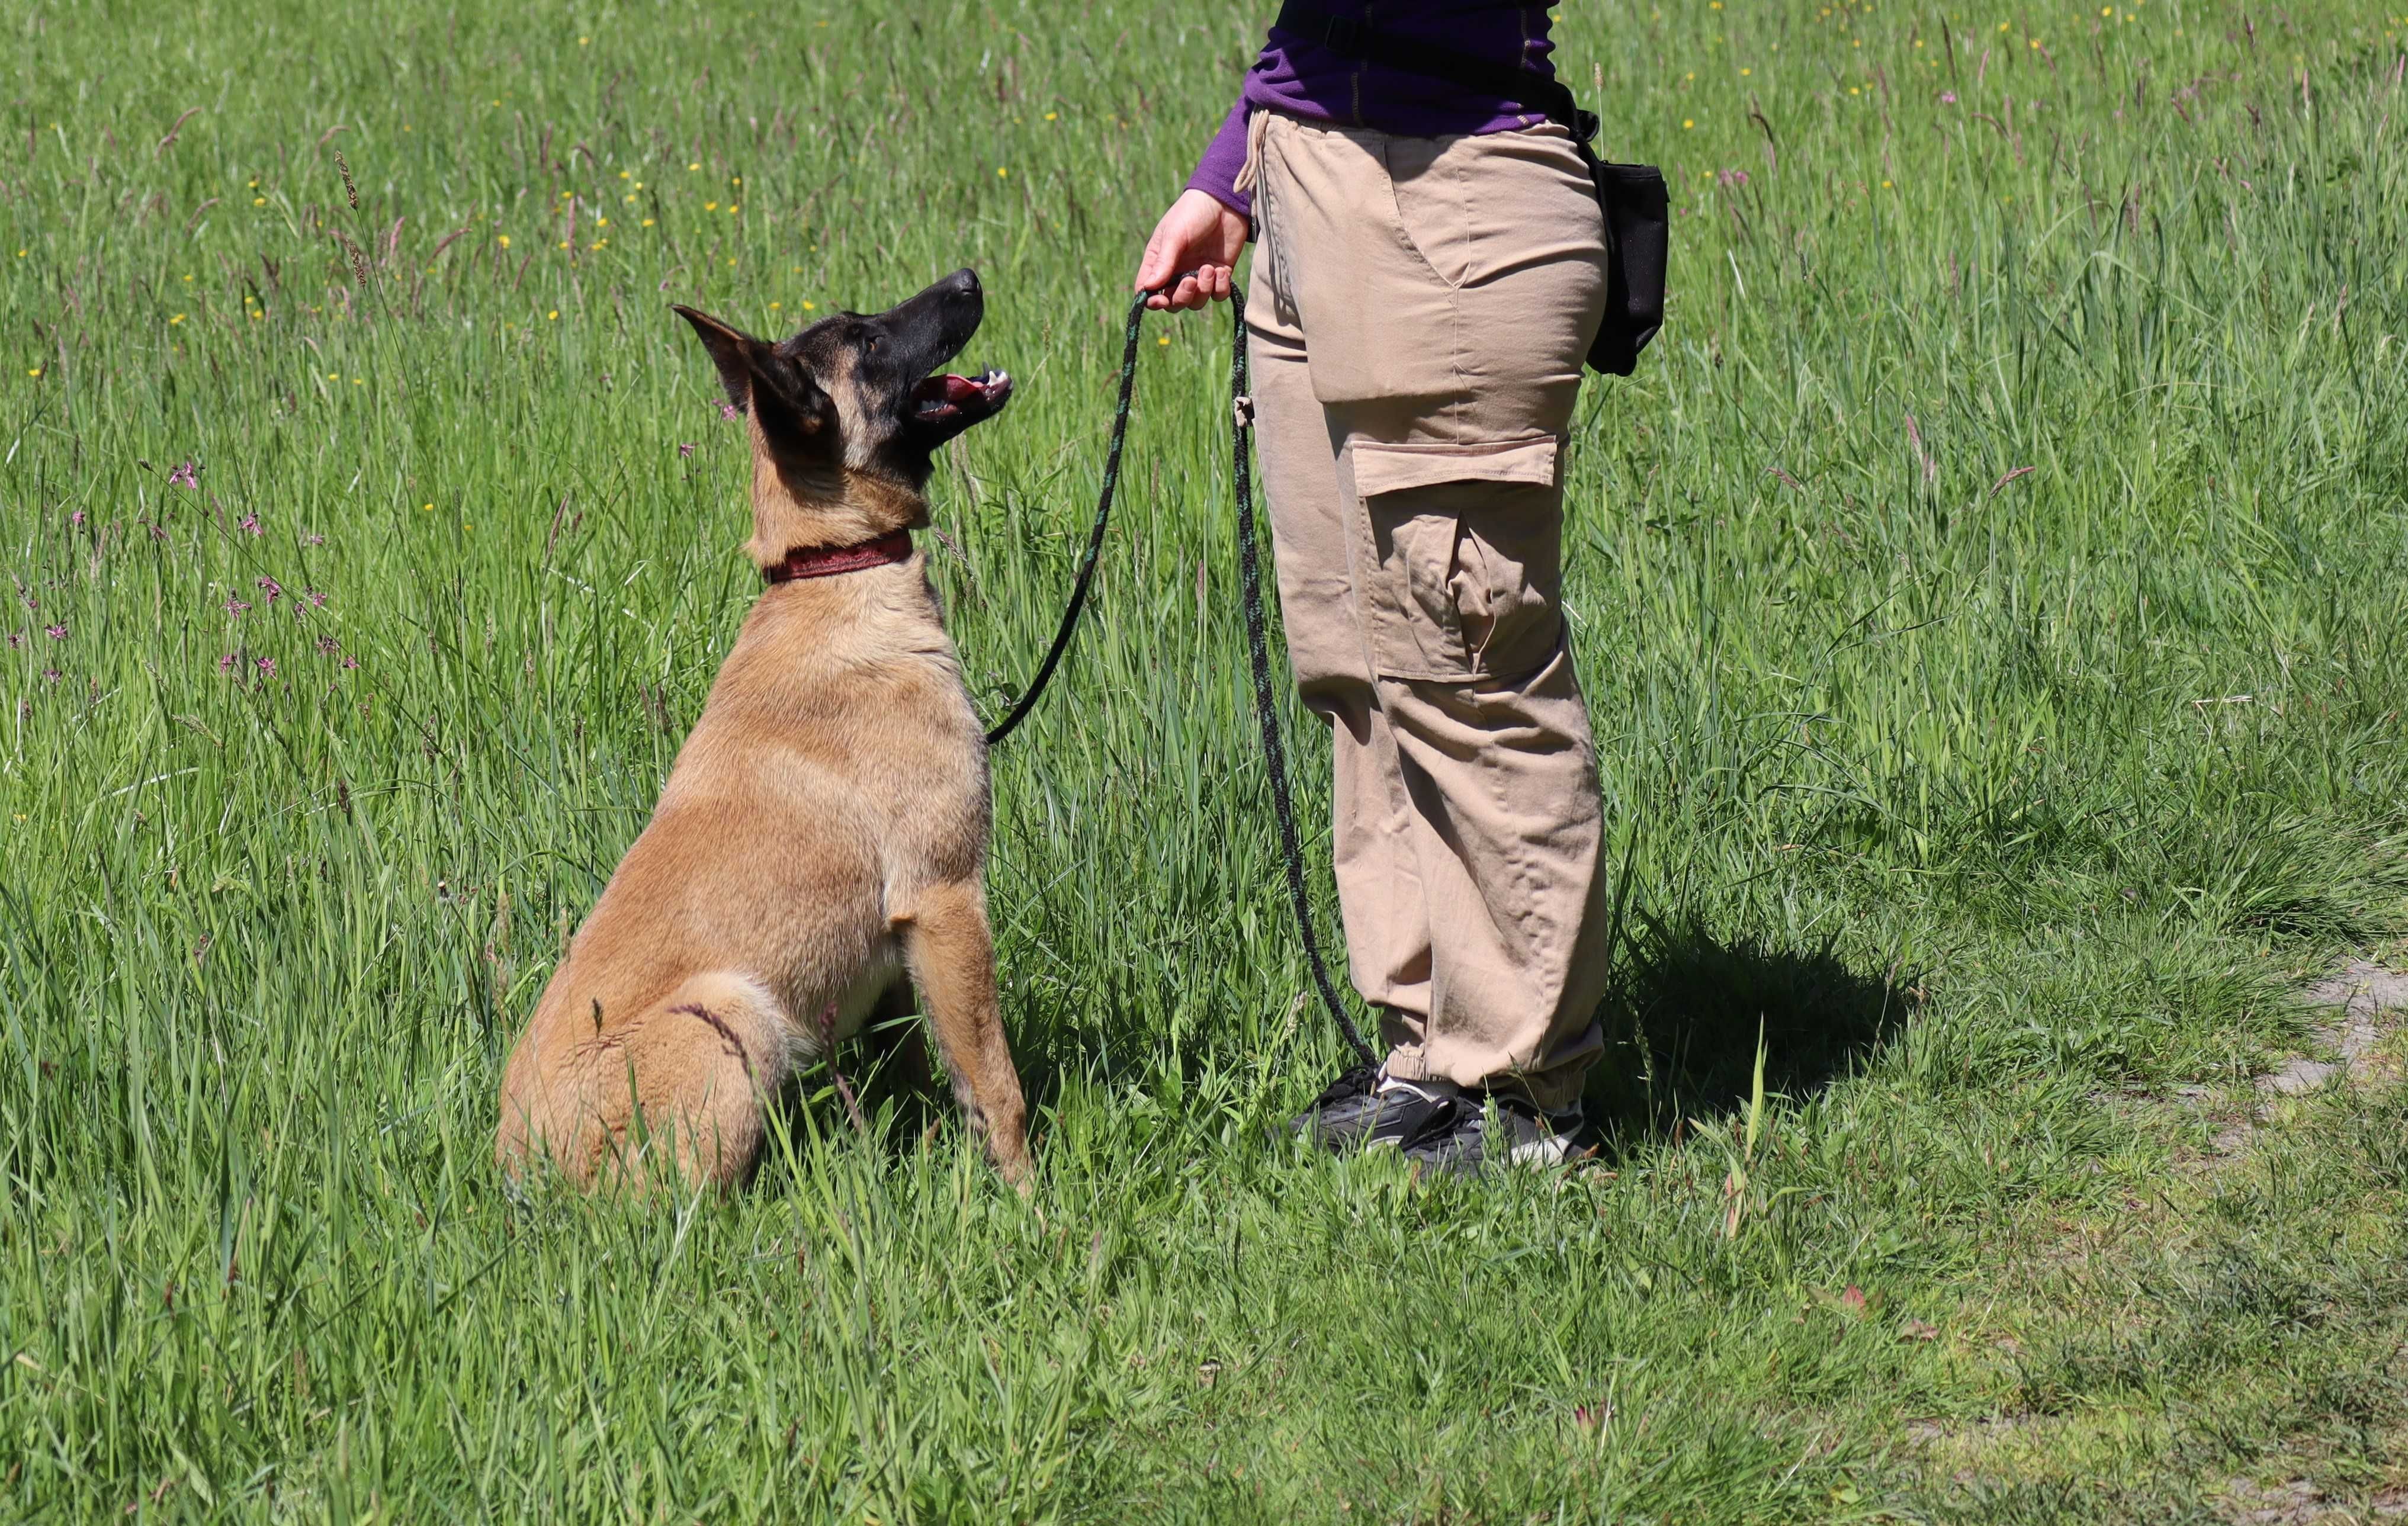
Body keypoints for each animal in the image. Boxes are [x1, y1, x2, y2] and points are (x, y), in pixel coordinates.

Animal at [498, 265, 1035, 1188]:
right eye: (868, 341)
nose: (968, 276)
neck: (831, 568)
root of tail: (517, 1178)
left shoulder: (900, 946)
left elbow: (918, 1065)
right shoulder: (944, 898)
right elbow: (995, 1085)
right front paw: (1036, 1201)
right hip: (730, 1014)